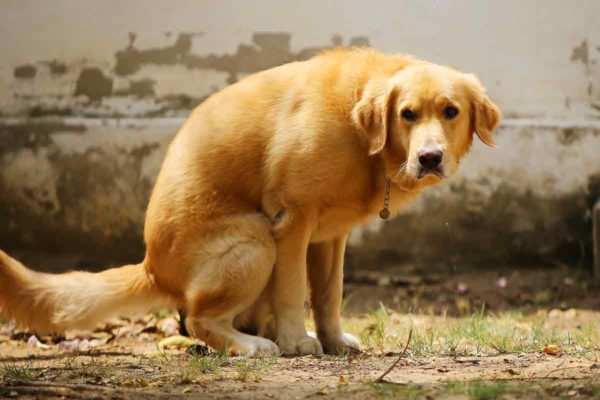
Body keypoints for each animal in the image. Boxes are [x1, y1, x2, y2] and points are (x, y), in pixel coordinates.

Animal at [0, 47, 500, 356]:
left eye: (451, 112)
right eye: (407, 114)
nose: (430, 158)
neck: (362, 136)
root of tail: (150, 265)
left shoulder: (331, 237)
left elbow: (328, 296)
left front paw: (334, 341)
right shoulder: (291, 221)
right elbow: (293, 291)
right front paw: (299, 342)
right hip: (255, 240)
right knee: (199, 320)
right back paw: (255, 345)